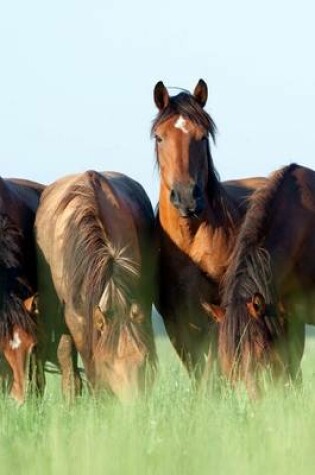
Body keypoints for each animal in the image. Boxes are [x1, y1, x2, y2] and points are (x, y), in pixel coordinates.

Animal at [153, 80, 266, 382]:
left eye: (202, 137)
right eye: (159, 137)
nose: (186, 197)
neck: (191, 239)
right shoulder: (177, 319)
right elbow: (199, 368)